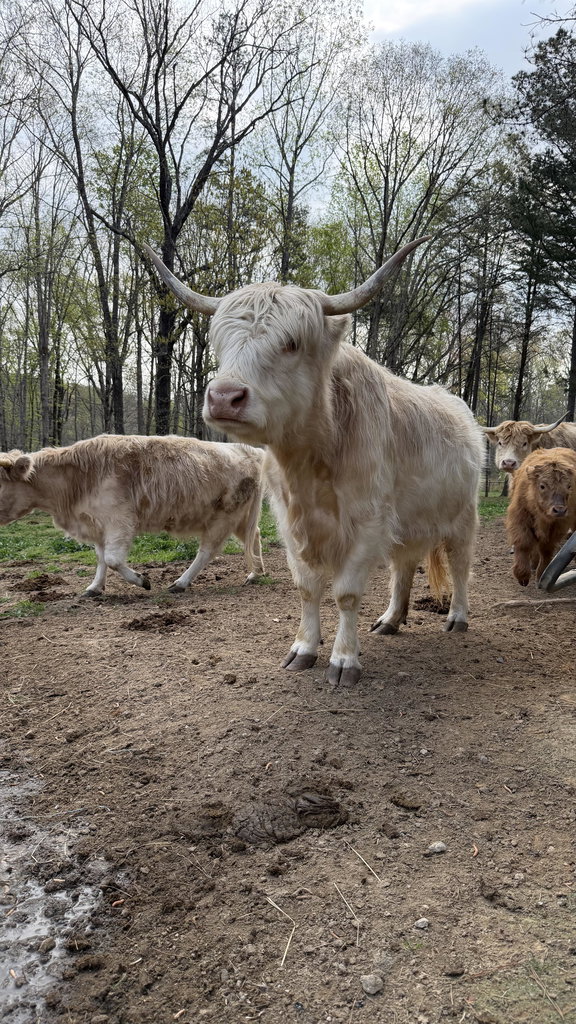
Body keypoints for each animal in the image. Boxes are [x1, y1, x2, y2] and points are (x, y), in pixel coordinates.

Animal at [0, 434, 265, 596]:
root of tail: (249, 450)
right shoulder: (97, 524)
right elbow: (101, 558)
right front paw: (95, 587)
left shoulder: (119, 522)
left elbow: (112, 559)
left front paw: (142, 580)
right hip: (240, 519)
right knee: (255, 536)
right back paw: (256, 573)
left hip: (224, 517)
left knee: (206, 551)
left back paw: (180, 582)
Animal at [144, 238, 484, 685]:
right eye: (221, 342)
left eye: (291, 342)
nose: (223, 397)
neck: (310, 462)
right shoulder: (290, 521)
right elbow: (307, 587)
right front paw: (304, 648)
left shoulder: (368, 521)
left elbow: (346, 593)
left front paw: (344, 659)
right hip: (408, 522)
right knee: (403, 566)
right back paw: (391, 619)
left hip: (462, 516)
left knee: (460, 564)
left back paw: (457, 617)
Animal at [505, 447, 576, 586]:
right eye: (542, 485)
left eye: (569, 486)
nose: (559, 510)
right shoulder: (520, 519)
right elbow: (523, 544)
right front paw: (522, 575)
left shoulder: (556, 527)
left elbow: (546, 550)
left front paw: (540, 575)